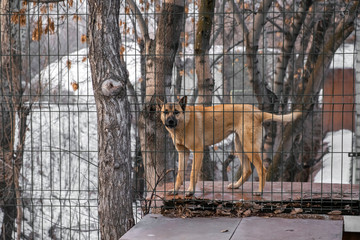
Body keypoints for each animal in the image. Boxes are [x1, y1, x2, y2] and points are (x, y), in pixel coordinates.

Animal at [158, 96, 300, 197]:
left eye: (176, 112)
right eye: (166, 112)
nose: (170, 121)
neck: (184, 123)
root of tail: (257, 111)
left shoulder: (198, 151)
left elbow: (192, 173)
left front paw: (191, 190)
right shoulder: (183, 153)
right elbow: (179, 175)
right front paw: (175, 190)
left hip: (249, 147)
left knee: (261, 169)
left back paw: (259, 191)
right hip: (239, 146)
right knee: (248, 170)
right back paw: (236, 186)